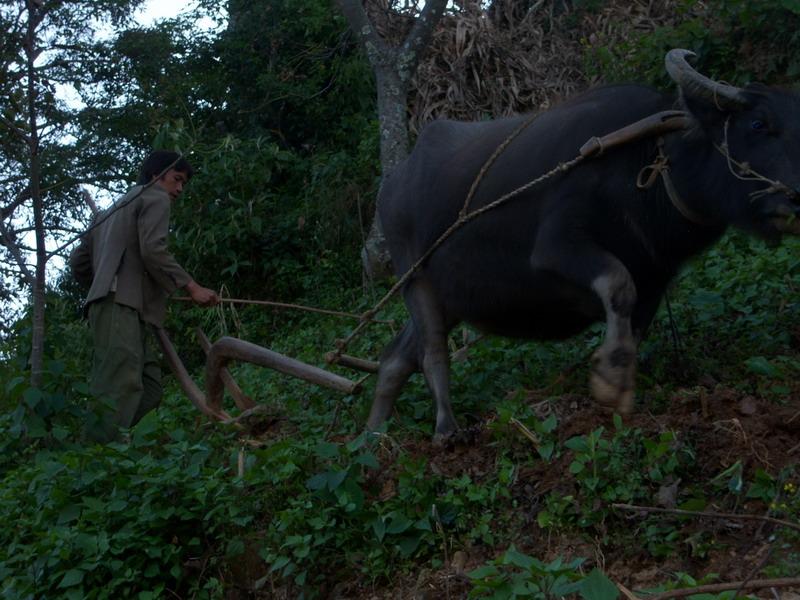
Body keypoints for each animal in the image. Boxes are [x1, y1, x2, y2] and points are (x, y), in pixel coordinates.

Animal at [368, 49, 800, 438]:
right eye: (758, 123)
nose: (795, 197)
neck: (647, 170)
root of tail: (391, 185)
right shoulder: (558, 246)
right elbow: (618, 283)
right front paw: (609, 377)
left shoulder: (655, 279)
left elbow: (633, 323)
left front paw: (619, 374)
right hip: (414, 278)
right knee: (432, 352)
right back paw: (446, 429)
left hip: (451, 298)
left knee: (395, 358)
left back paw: (371, 440)